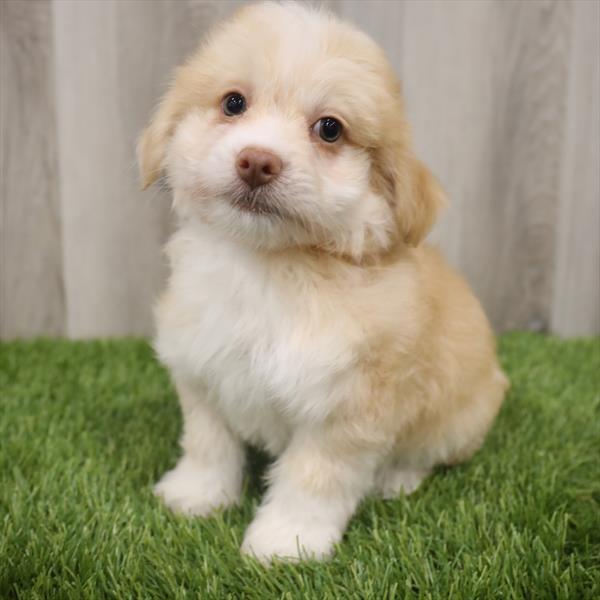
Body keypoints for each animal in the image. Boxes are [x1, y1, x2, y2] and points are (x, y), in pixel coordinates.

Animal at [138, 0, 508, 564]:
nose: (257, 161)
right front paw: (196, 494)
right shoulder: (201, 371)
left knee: (427, 452)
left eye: (329, 129)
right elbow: (208, 442)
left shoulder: (346, 408)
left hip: (459, 416)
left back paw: (396, 479)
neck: (268, 265)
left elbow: (314, 478)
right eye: (233, 103)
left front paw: (285, 542)